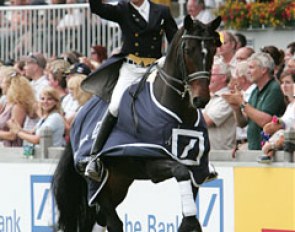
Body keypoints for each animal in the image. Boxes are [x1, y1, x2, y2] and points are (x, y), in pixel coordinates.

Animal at [52, 15, 222, 232]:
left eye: (213, 50)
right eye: (188, 50)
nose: (201, 99)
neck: (179, 114)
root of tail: (77, 118)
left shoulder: (197, 168)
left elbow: (188, 207)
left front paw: (190, 223)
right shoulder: (152, 162)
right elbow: (180, 171)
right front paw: (191, 222)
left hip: (118, 182)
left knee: (101, 219)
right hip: (99, 183)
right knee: (112, 222)